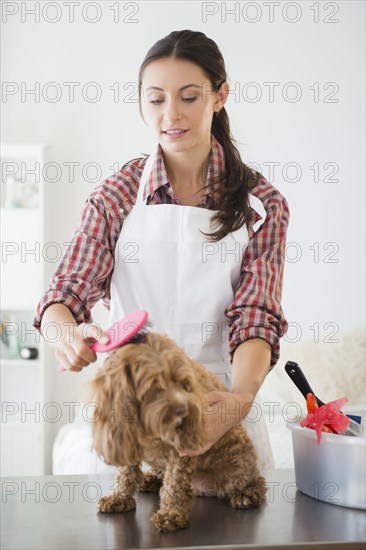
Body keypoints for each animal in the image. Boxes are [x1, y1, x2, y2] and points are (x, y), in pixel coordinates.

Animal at [88, 330, 266, 532]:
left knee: (256, 481)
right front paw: (119, 498)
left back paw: (247, 494)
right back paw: (149, 479)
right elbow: (125, 473)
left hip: (238, 464)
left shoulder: (180, 451)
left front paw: (170, 516)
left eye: (182, 383)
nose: (183, 409)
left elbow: (174, 483)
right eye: (154, 386)